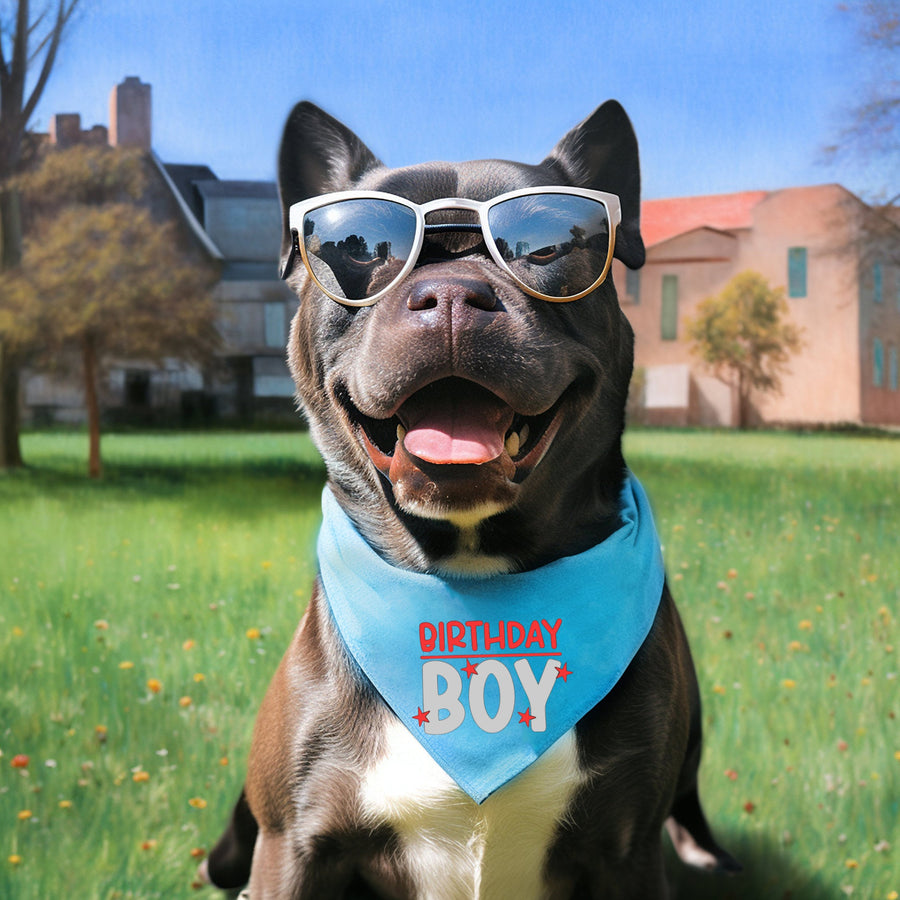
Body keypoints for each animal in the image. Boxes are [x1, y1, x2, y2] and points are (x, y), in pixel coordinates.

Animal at [202, 100, 740, 900]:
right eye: (357, 249)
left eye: (546, 247)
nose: (452, 293)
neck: (470, 579)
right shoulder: (292, 848)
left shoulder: (628, 853)